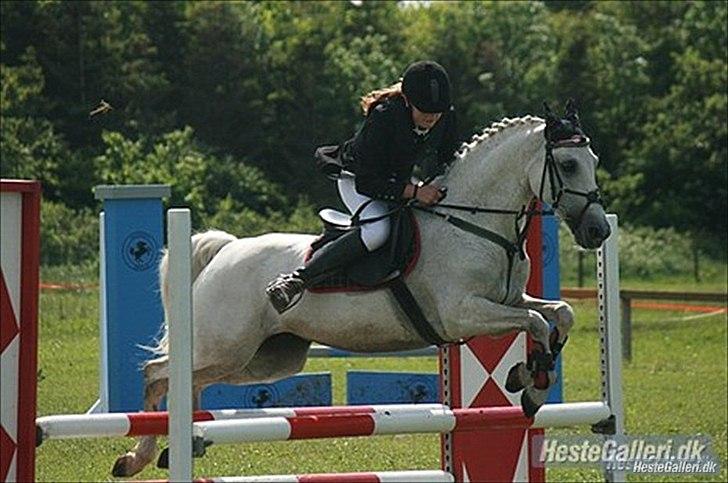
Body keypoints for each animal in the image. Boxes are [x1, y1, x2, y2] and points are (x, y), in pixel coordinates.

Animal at [112, 105, 611, 477]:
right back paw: (138, 457)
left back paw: (180, 443)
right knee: (158, 373)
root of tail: (226, 250)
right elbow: (536, 322)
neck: (474, 222)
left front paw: (526, 375)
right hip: (227, 344)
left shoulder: (506, 301)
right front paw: (531, 387)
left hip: (264, 357)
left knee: (188, 380)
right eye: (568, 164)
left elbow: (558, 313)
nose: (599, 231)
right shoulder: (464, 313)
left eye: (594, 163)